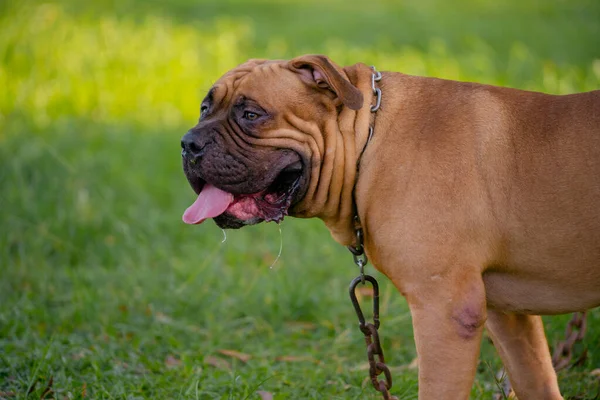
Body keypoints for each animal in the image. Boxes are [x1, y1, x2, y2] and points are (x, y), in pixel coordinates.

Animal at [179, 54, 600, 398]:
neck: (369, 138)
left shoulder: (445, 310)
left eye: (251, 115)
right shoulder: (509, 316)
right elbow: (536, 380)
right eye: (204, 108)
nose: (188, 144)